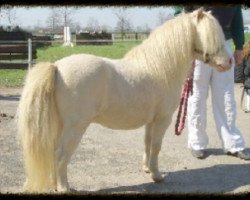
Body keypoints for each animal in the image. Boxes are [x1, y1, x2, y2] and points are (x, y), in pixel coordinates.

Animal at [17, 8, 232, 193]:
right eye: (211, 36)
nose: (229, 63)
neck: (161, 68)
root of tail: (57, 67)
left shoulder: (151, 121)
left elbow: (147, 144)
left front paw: (147, 169)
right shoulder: (163, 119)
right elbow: (156, 146)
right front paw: (157, 176)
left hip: (62, 125)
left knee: (54, 153)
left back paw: (55, 184)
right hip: (75, 127)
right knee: (61, 154)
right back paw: (64, 187)